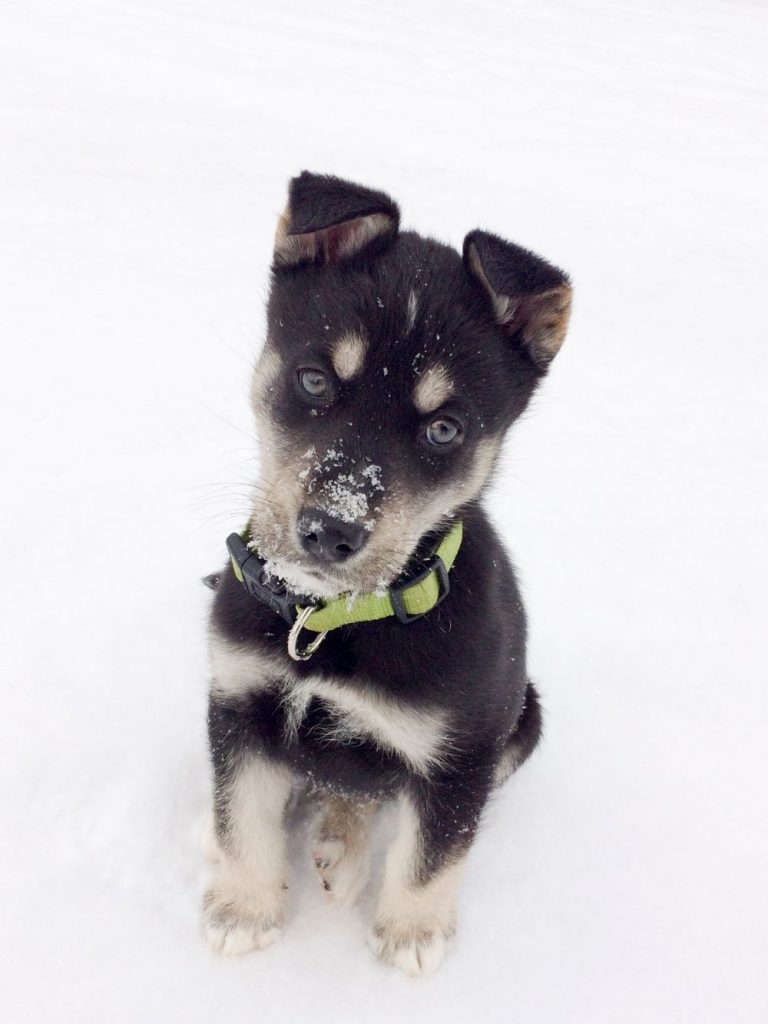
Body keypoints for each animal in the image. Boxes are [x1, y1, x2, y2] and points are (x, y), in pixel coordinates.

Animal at [204, 174, 573, 974]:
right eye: (314, 379)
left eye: (444, 429)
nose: (330, 530)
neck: (331, 620)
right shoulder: (239, 700)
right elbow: (238, 815)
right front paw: (242, 908)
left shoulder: (460, 752)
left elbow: (433, 852)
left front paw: (412, 934)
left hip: (522, 716)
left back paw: (342, 847)